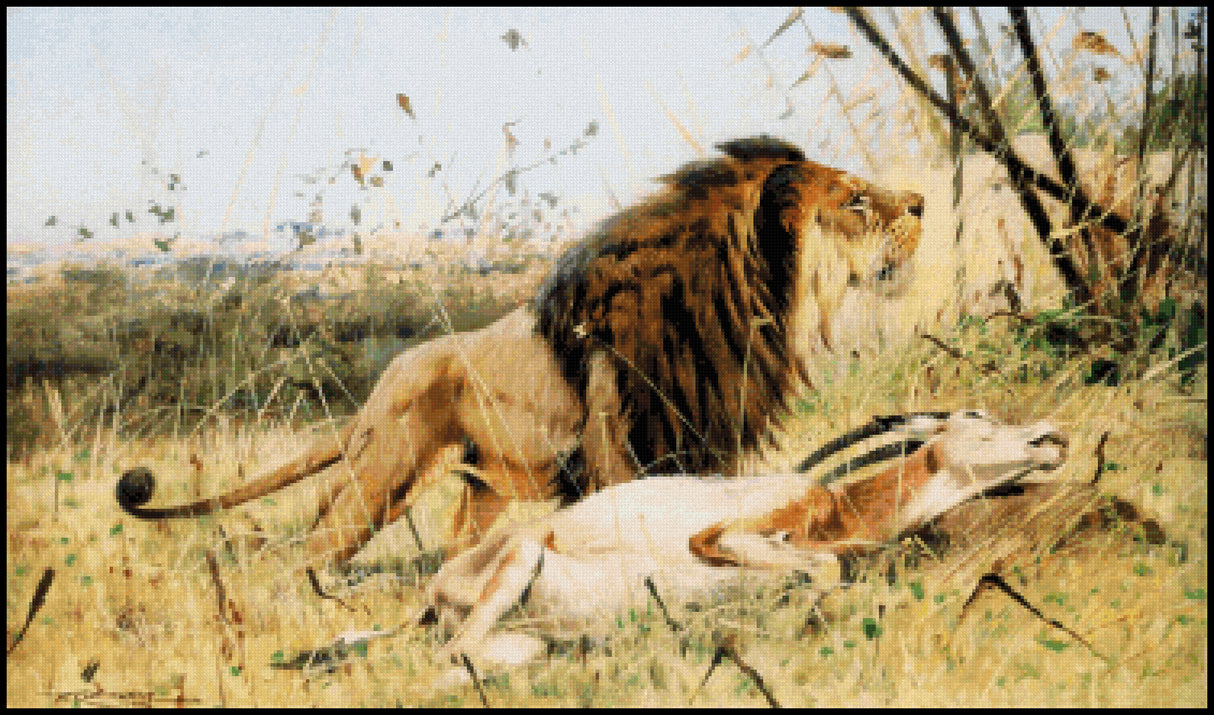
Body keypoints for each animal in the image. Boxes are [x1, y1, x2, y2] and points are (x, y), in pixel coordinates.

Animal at [117, 135, 924, 566]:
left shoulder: (704, 442)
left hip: (482, 491)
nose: (921, 202)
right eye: (855, 199)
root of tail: (379, 386)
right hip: (381, 477)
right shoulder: (621, 449)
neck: (745, 296)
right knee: (316, 548)